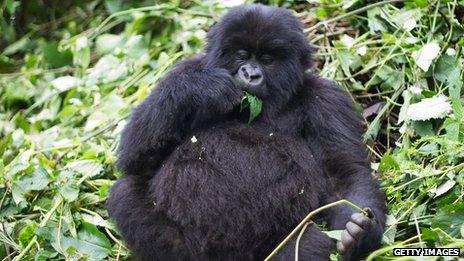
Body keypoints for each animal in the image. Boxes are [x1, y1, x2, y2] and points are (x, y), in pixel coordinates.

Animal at [107, 4, 386, 260]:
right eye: (242, 55)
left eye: (267, 60)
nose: (250, 74)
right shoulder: (181, 70)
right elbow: (136, 156)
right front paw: (201, 86)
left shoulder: (328, 101)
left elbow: (344, 174)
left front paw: (360, 234)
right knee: (126, 189)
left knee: (308, 243)